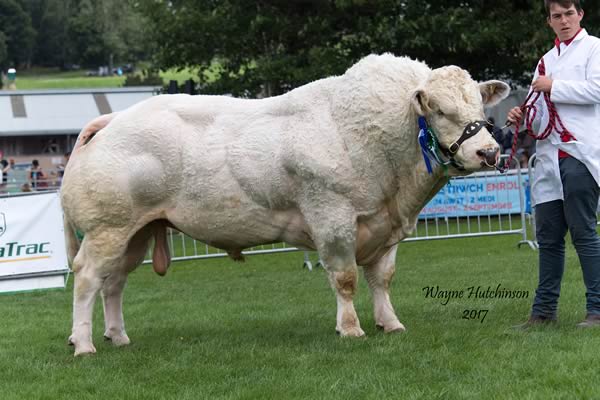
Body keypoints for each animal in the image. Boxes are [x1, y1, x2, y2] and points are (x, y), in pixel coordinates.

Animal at [61, 54, 508, 356]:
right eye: (440, 110)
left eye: (479, 107)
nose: (488, 152)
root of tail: (113, 120)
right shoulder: (332, 217)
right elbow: (345, 278)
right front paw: (350, 329)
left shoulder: (387, 225)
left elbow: (382, 278)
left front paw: (390, 323)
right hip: (106, 228)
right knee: (88, 279)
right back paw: (83, 343)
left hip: (134, 231)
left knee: (114, 283)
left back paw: (118, 335)